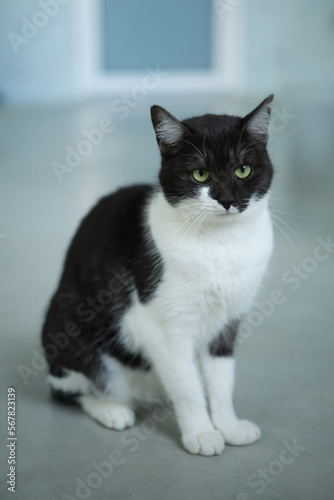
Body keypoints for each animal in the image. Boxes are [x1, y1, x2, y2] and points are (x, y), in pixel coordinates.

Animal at [41, 94, 274, 458]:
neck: (221, 243)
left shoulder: (227, 321)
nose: (227, 199)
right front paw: (201, 433)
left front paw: (229, 425)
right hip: (65, 327)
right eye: (200, 173)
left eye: (243, 169)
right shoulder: (161, 327)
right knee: (73, 390)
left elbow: (222, 379)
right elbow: (188, 387)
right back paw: (112, 409)